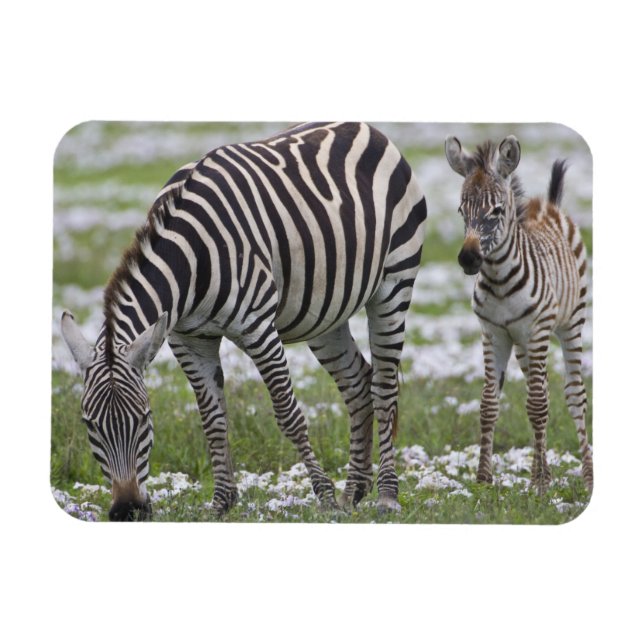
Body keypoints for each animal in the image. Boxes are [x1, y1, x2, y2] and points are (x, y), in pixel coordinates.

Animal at [61, 122, 428, 520]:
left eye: (145, 417)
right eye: (89, 425)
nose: (128, 511)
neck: (191, 260)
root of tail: (363, 127)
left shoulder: (258, 327)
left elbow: (288, 414)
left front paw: (325, 496)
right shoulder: (188, 340)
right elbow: (212, 419)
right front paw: (222, 502)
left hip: (394, 282)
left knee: (383, 387)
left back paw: (386, 495)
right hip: (326, 314)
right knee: (358, 382)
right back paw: (354, 492)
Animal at [444, 134, 593, 494]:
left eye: (497, 211)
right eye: (461, 210)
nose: (468, 259)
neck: (499, 280)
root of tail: (549, 204)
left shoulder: (537, 330)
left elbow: (537, 406)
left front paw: (537, 484)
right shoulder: (493, 334)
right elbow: (489, 404)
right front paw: (483, 480)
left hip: (570, 325)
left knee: (574, 395)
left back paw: (587, 476)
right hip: (524, 343)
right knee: (543, 390)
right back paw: (547, 471)